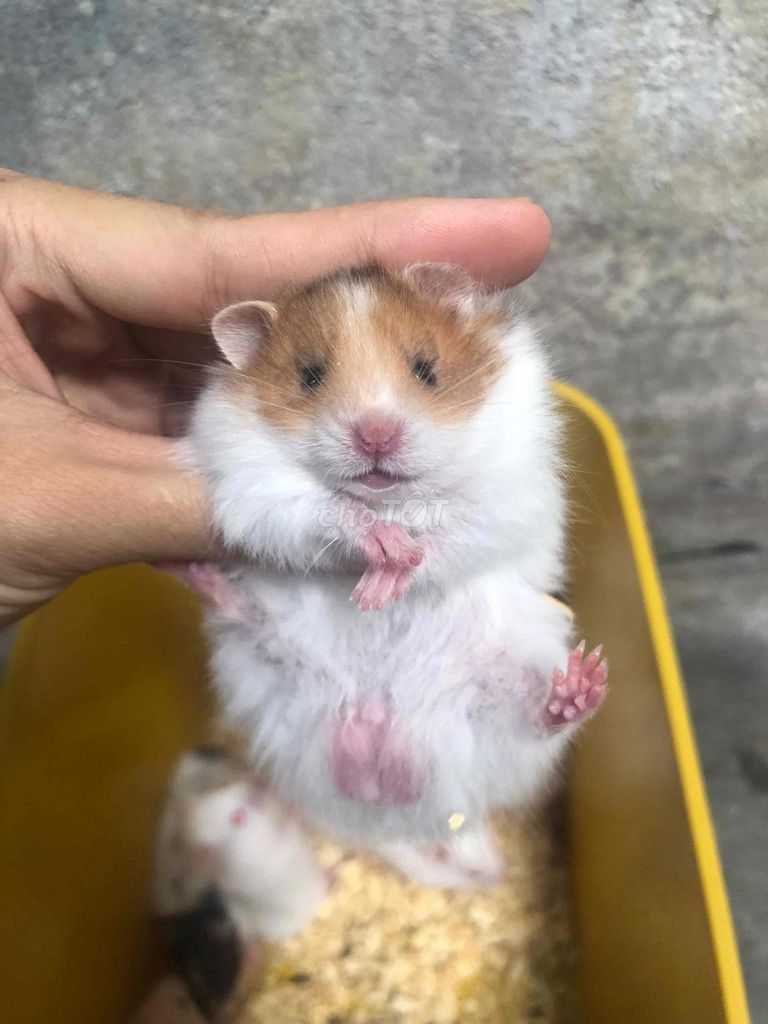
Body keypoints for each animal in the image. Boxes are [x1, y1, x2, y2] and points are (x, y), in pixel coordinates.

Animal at [182, 263, 607, 886]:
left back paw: (579, 687)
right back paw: (200, 575)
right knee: (249, 621)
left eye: (426, 368)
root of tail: (379, 753)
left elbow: (450, 533)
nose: (375, 434)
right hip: (264, 666)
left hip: (511, 678)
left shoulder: (507, 491)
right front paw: (380, 558)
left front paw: (388, 580)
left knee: (536, 718)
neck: (390, 498)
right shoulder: (252, 485)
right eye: (310, 376)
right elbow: (327, 508)